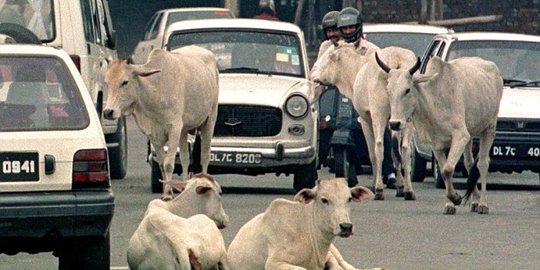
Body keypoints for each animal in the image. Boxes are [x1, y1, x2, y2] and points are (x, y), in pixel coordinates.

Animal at [104, 45, 218, 199]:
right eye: (107, 82)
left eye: (125, 82)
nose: (108, 112)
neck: (156, 89)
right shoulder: (154, 134)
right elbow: (162, 164)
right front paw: (166, 191)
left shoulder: (174, 128)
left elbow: (169, 164)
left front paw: (168, 194)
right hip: (184, 130)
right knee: (185, 158)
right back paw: (184, 188)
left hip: (209, 121)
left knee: (205, 156)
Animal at [320, 42, 418, 200]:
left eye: (330, 57)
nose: (316, 76)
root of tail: (395, 60)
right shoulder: (394, 122)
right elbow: (395, 152)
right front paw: (400, 187)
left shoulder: (365, 119)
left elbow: (372, 153)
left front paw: (375, 184)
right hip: (408, 117)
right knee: (405, 148)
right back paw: (409, 191)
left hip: (378, 113)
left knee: (378, 147)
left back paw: (378, 189)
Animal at [378, 55, 504, 215]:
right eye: (388, 90)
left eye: (407, 90)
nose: (394, 123)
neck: (434, 101)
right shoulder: (437, 145)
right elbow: (444, 173)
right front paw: (450, 204)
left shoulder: (460, 136)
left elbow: (448, 169)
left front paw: (456, 198)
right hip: (469, 136)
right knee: (469, 164)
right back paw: (475, 202)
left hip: (489, 128)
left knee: (482, 164)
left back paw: (483, 204)